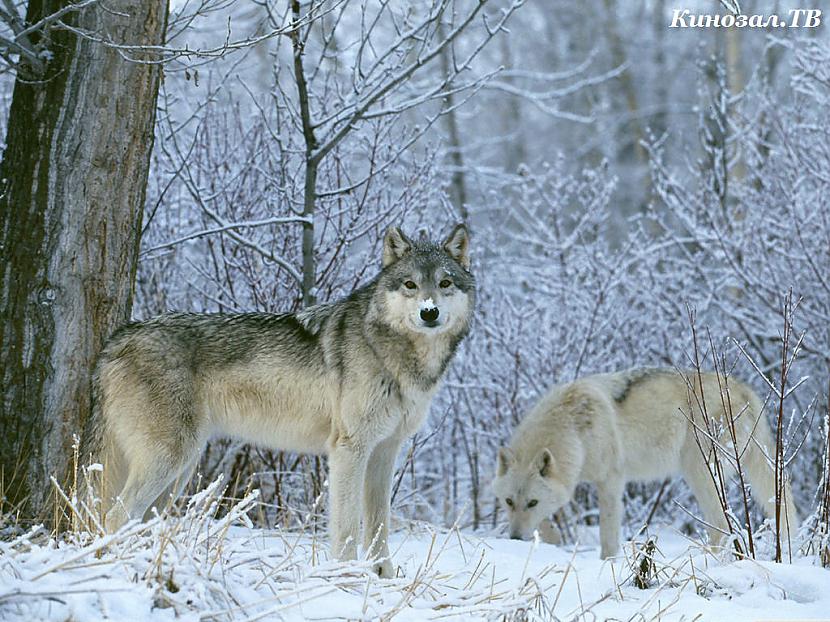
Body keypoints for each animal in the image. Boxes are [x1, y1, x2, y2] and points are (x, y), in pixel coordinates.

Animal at [85, 224, 478, 580]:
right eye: (410, 285)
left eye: (444, 284)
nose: (429, 312)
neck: (395, 353)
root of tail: (115, 340)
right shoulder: (349, 449)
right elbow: (347, 525)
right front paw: (347, 576)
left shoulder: (385, 451)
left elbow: (379, 522)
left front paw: (383, 575)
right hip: (170, 460)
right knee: (115, 514)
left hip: (179, 471)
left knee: (139, 520)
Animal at [494, 368, 800, 560]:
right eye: (508, 502)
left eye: (532, 502)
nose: (515, 538)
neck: (572, 427)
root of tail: (744, 390)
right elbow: (549, 524)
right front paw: (553, 540)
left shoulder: (611, 481)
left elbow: (607, 536)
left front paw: (607, 564)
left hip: (699, 473)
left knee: (721, 526)